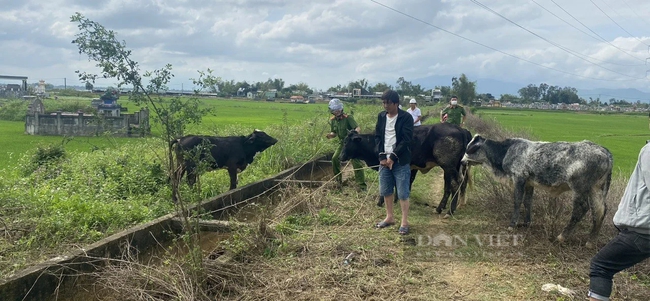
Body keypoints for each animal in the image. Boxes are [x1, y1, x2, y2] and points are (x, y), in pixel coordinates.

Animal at [340, 122, 470, 216]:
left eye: (346, 142)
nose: (340, 157)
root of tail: (460, 129)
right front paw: (396, 200)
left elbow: (387, 185)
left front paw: (381, 202)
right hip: (450, 169)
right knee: (449, 186)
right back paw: (439, 208)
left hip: (448, 166)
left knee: (456, 184)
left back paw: (450, 211)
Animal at [464, 135, 612, 245]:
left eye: (469, 149)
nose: (462, 161)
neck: (507, 151)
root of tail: (604, 151)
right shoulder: (529, 183)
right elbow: (527, 202)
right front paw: (527, 222)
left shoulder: (519, 178)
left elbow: (517, 201)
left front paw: (513, 224)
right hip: (596, 189)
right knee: (600, 211)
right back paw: (591, 241)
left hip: (579, 189)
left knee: (581, 209)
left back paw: (562, 236)